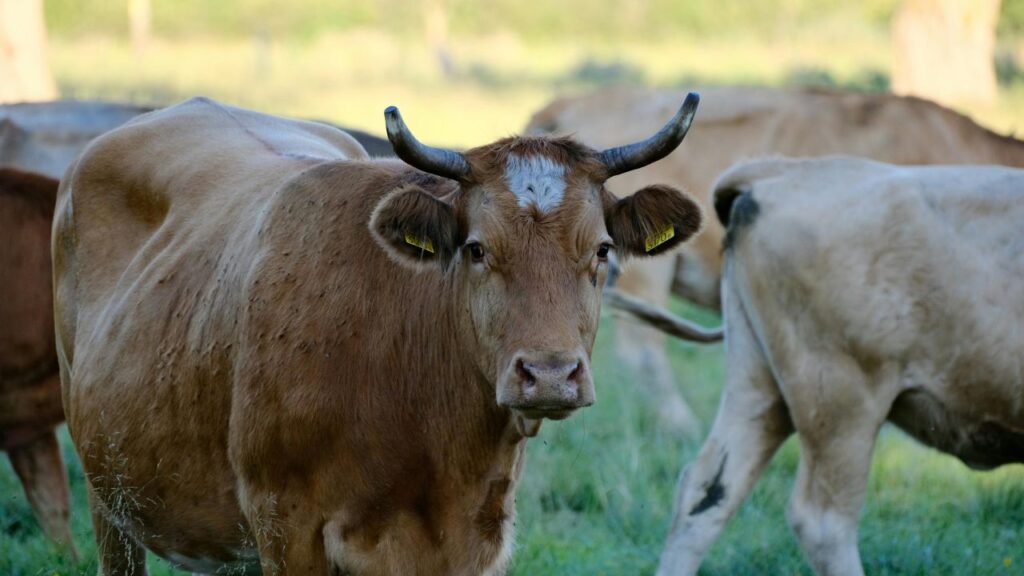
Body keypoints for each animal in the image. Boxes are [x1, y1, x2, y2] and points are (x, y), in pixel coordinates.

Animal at [53, 95, 705, 574]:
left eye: (602, 250)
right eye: (476, 248)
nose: (549, 375)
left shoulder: (478, 536)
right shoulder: (284, 527)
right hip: (110, 501)